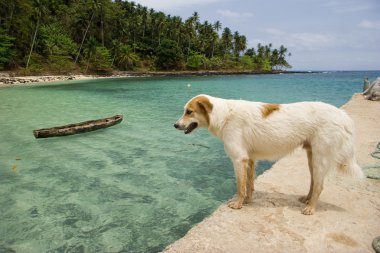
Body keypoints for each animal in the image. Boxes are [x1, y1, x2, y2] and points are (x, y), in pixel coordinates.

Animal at [174, 94, 364, 214]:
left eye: (189, 112)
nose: (175, 125)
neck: (224, 116)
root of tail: (342, 115)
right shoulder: (250, 159)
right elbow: (249, 184)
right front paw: (248, 201)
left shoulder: (239, 159)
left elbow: (240, 186)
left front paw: (238, 204)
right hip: (312, 158)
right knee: (313, 182)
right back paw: (307, 200)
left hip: (320, 158)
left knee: (319, 186)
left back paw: (311, 208)